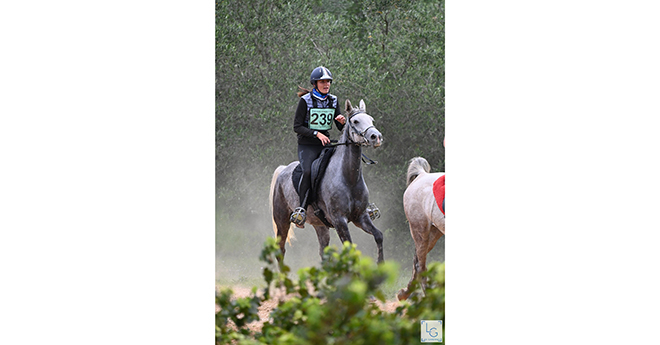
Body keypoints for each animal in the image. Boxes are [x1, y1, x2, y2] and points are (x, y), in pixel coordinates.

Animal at [268, 99, 384, 260]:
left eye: (371, 120)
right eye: (355, 121)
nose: (376, 137)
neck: (349, 179)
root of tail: (283, 169)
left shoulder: (361, 217)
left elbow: (379, 236)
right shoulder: (339, 221)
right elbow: (350, 249)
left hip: (320, 225)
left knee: (323, 251)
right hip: (282, 220)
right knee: (281, 249)